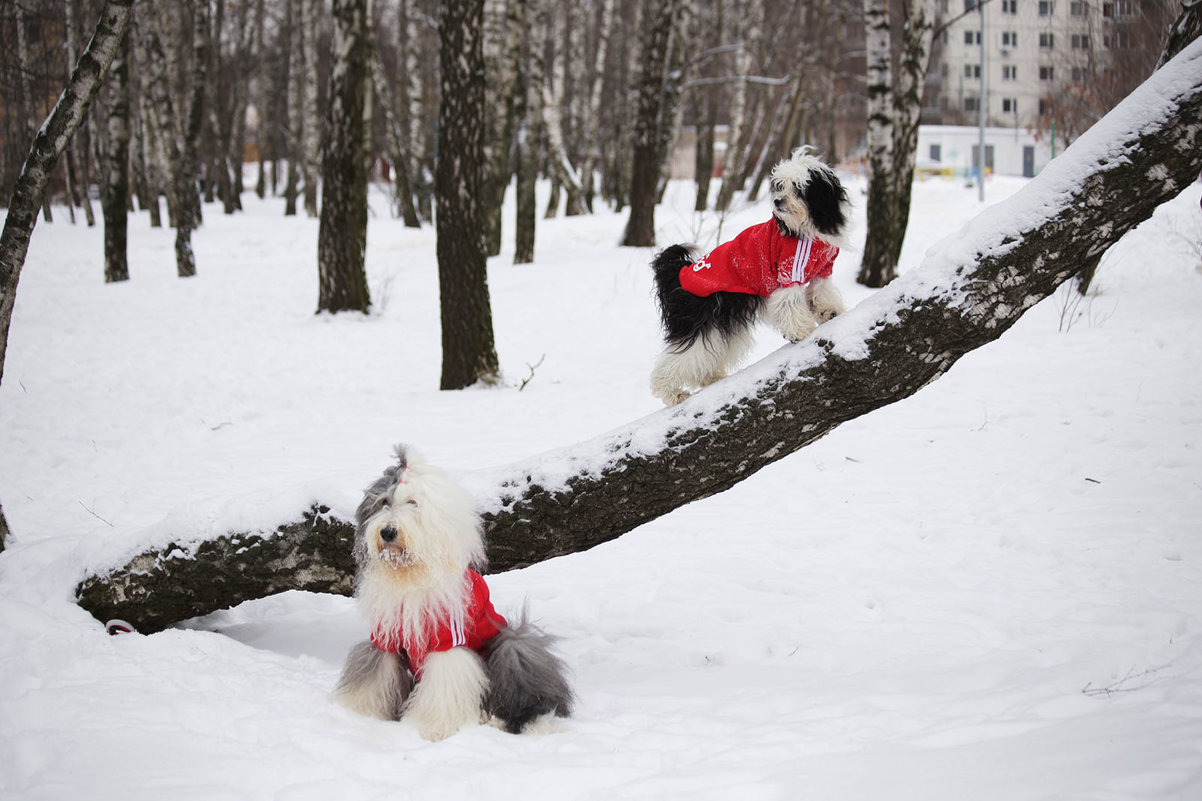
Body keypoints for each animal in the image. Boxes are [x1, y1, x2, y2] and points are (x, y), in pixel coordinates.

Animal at [331, 442, 569, 736]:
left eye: (412, 502)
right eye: (383, 502)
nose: (387, 532)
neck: (410, 576)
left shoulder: (447, 638)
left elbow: (445, 683)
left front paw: (434, 728)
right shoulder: (385, 636)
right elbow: (375, 675)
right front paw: (361, 714)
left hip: (510, 648)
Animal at [649, 144, 855, 406]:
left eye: (798, 188)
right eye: (779, 186)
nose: (777, 201)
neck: (806, 231)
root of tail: (681, 273)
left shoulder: (822, 270)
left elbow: (822, 291)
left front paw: (829, 312)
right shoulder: (788, 272)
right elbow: (788, 304)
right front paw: (801, 331)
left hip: (722, 323)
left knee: (705, 354)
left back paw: (711, 377)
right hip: (699, 321)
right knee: (676, 360)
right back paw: (672, 393)